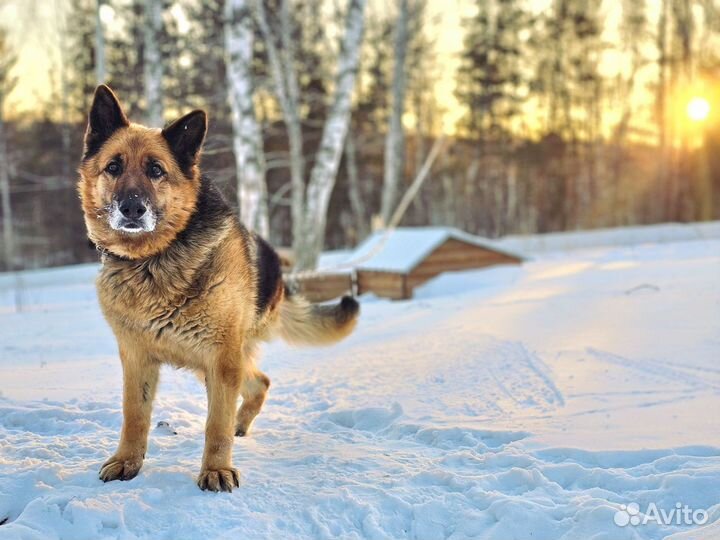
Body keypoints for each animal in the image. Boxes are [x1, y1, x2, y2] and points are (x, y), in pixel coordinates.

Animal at [77, 85, 358, 494]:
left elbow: (215, 426)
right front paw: (128, 461)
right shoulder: (137, 359)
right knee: (258, 382)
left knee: (255, 386)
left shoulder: (220, 360)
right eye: (113, 167)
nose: (132, 209)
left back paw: (238, 425)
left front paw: (216, 470)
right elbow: (134, 416)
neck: (153, 260)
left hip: (220, 359)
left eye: (156, 170)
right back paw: (242, 422)